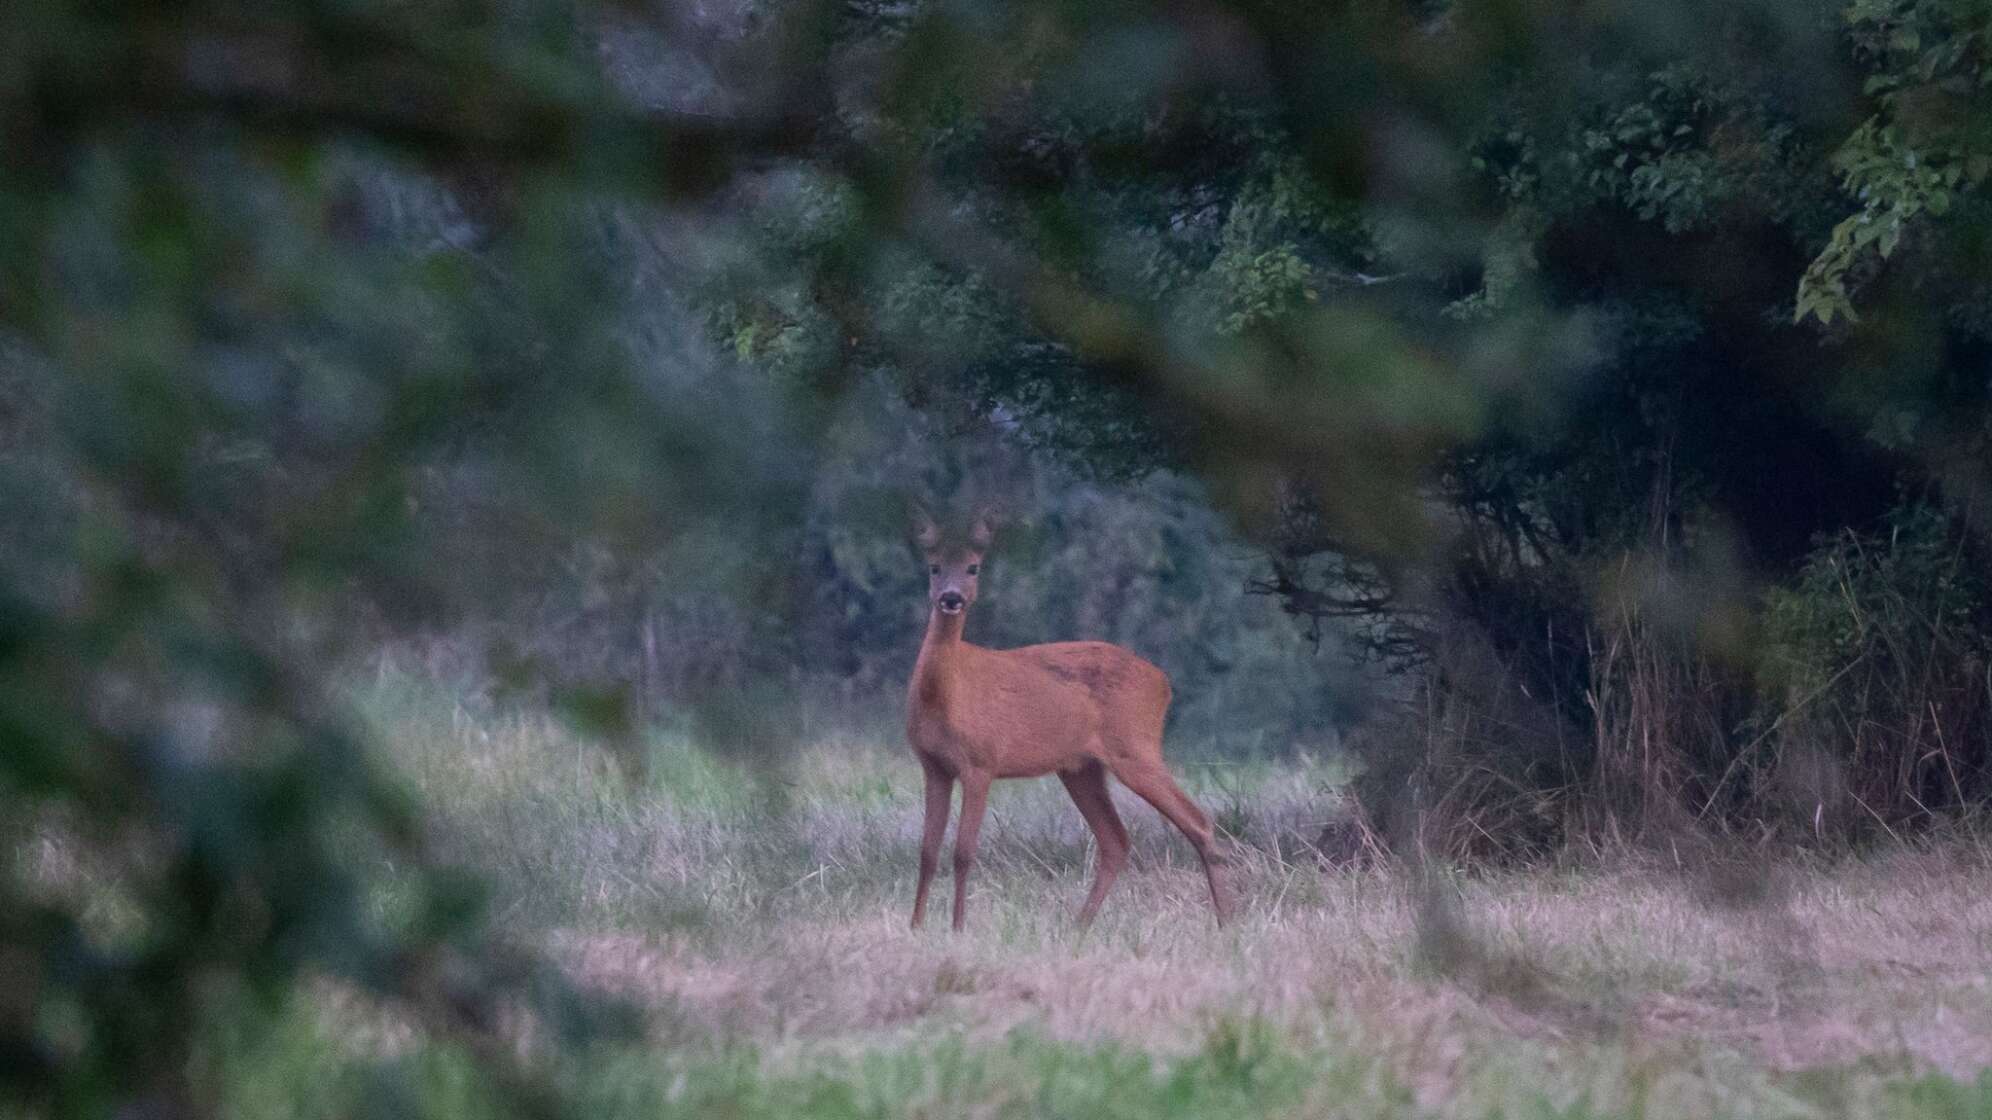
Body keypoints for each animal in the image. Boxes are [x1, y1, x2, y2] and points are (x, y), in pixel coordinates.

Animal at [904, 502, 1227, 928]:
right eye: (934, 567)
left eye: (973, 567)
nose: (952, 598)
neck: (947, 696)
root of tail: (1164, 683)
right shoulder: (934, 765)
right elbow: (927, 852)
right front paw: (916, 926)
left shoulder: (981, 761)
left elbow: (963, 852)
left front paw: (958, 928)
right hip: (1081, 767)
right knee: (1116, 839)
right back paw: (1080, 925)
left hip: (1135, 747)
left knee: (1198, 821)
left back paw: (1228, 920)